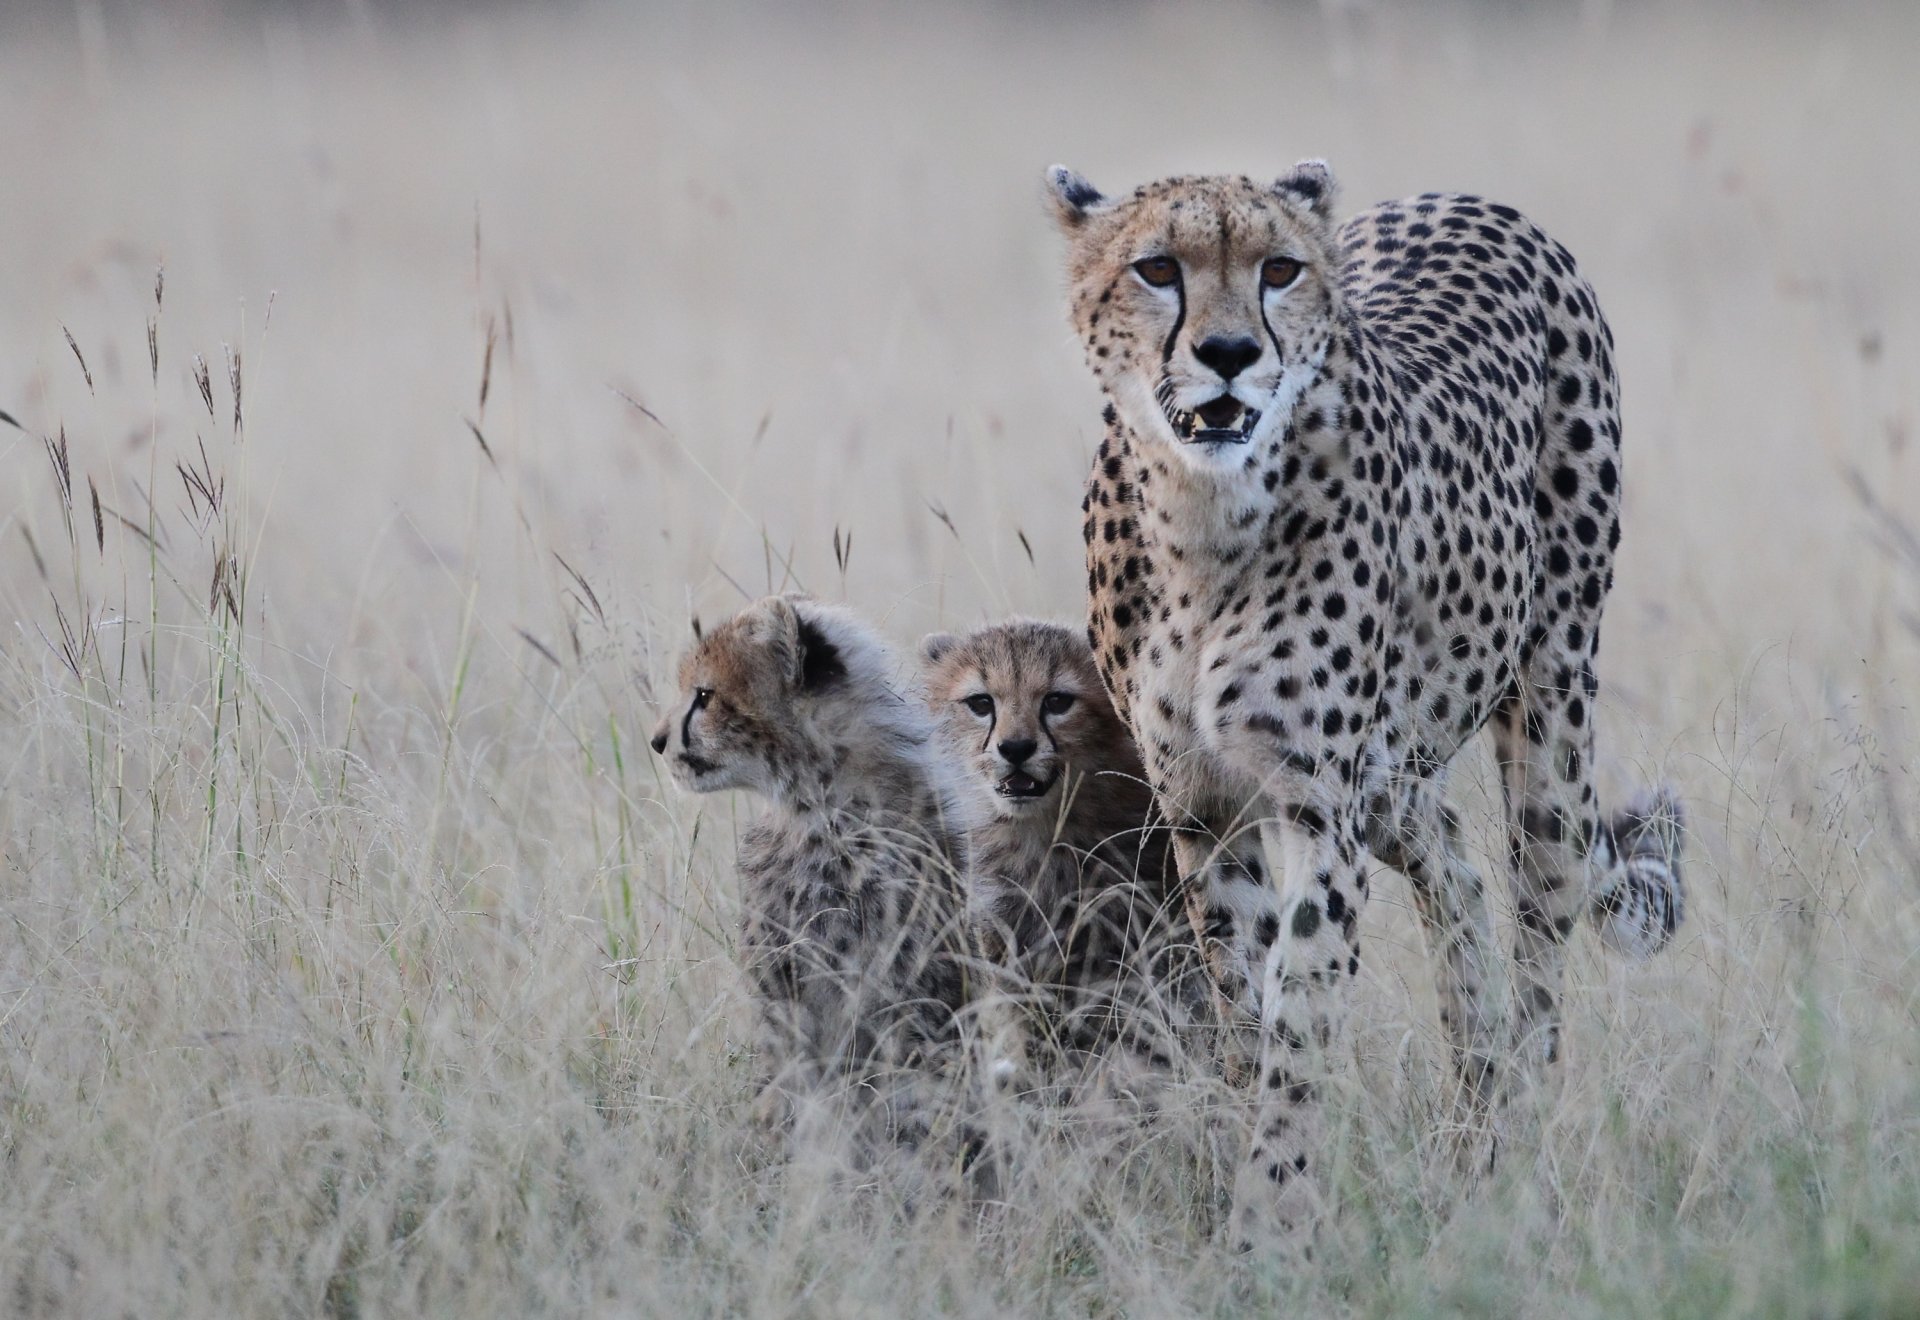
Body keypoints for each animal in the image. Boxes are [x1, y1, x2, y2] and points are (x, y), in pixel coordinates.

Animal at [1045, 158, 1687, 1248]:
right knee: (1455, 873)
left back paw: (1515, 1150)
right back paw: (1472, 1105)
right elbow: (1246, 1011)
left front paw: (1269, 1228)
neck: (1202, 518)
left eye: (1280, 269)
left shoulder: (1317, 807)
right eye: (1158, 268)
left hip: (1549, 711)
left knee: (1541, 926)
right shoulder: (1204, 809)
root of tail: (1473, 199)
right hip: (1392, 776)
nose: (1229, 355)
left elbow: (1299, 1023)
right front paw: (1255, 1188)